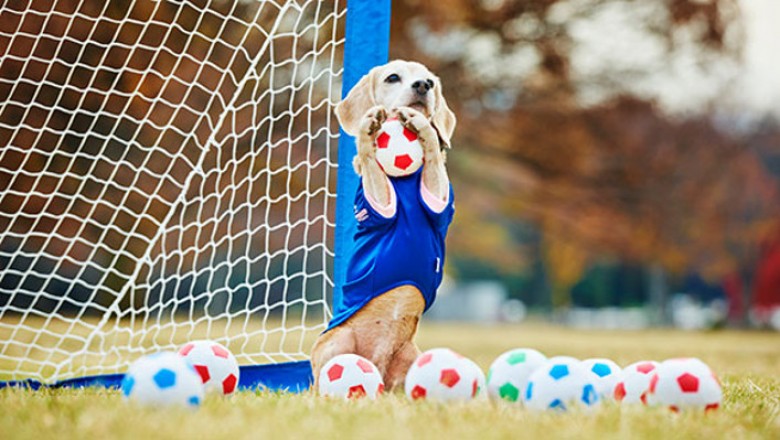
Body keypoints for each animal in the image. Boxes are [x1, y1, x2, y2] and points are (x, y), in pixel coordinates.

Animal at [310, 59, 458, 392]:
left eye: (430, 81)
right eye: (393, 78)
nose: (423, 86)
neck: (404, 179)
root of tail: (378, 367)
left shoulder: (439, 199)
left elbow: (432, 150)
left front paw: (424, 128)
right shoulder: (378, 204)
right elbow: (369, 158)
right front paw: (367, 132)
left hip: (411, 355)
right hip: (340, 340)